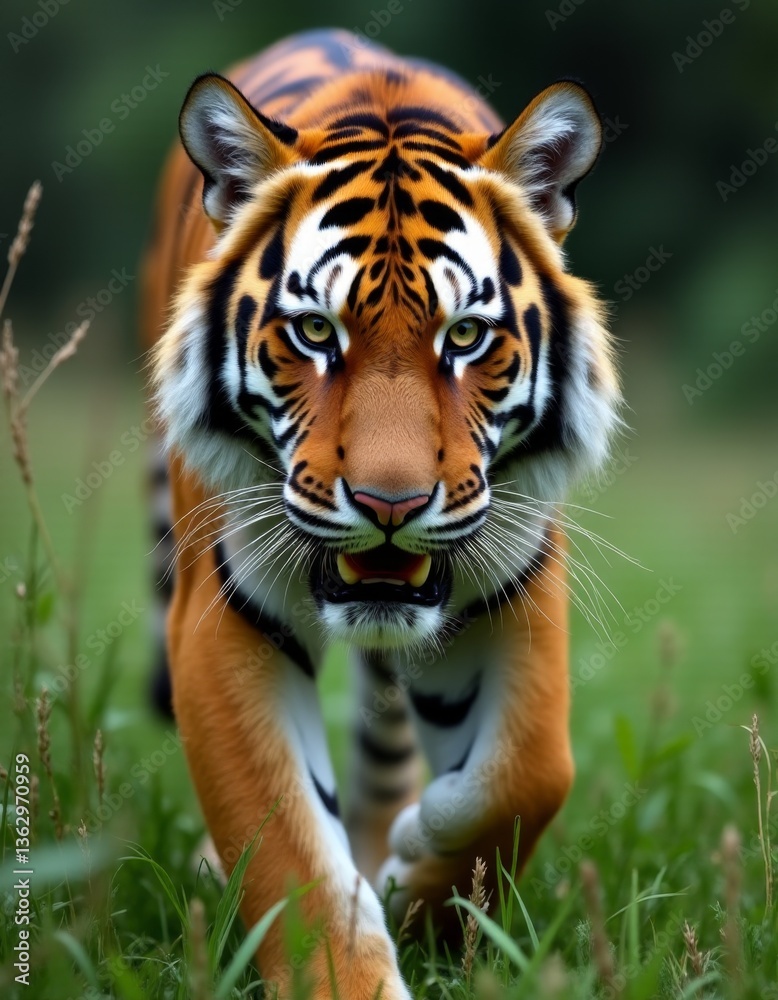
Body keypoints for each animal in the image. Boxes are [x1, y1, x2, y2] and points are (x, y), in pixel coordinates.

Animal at [142, 27, 620, 1000]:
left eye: (465, 337)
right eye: (315, 333)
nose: (389, 504)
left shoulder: (514, 583)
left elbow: (529, 774)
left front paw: (418, 886)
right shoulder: (222, 618)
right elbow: (289, 849)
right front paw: (350, 961)